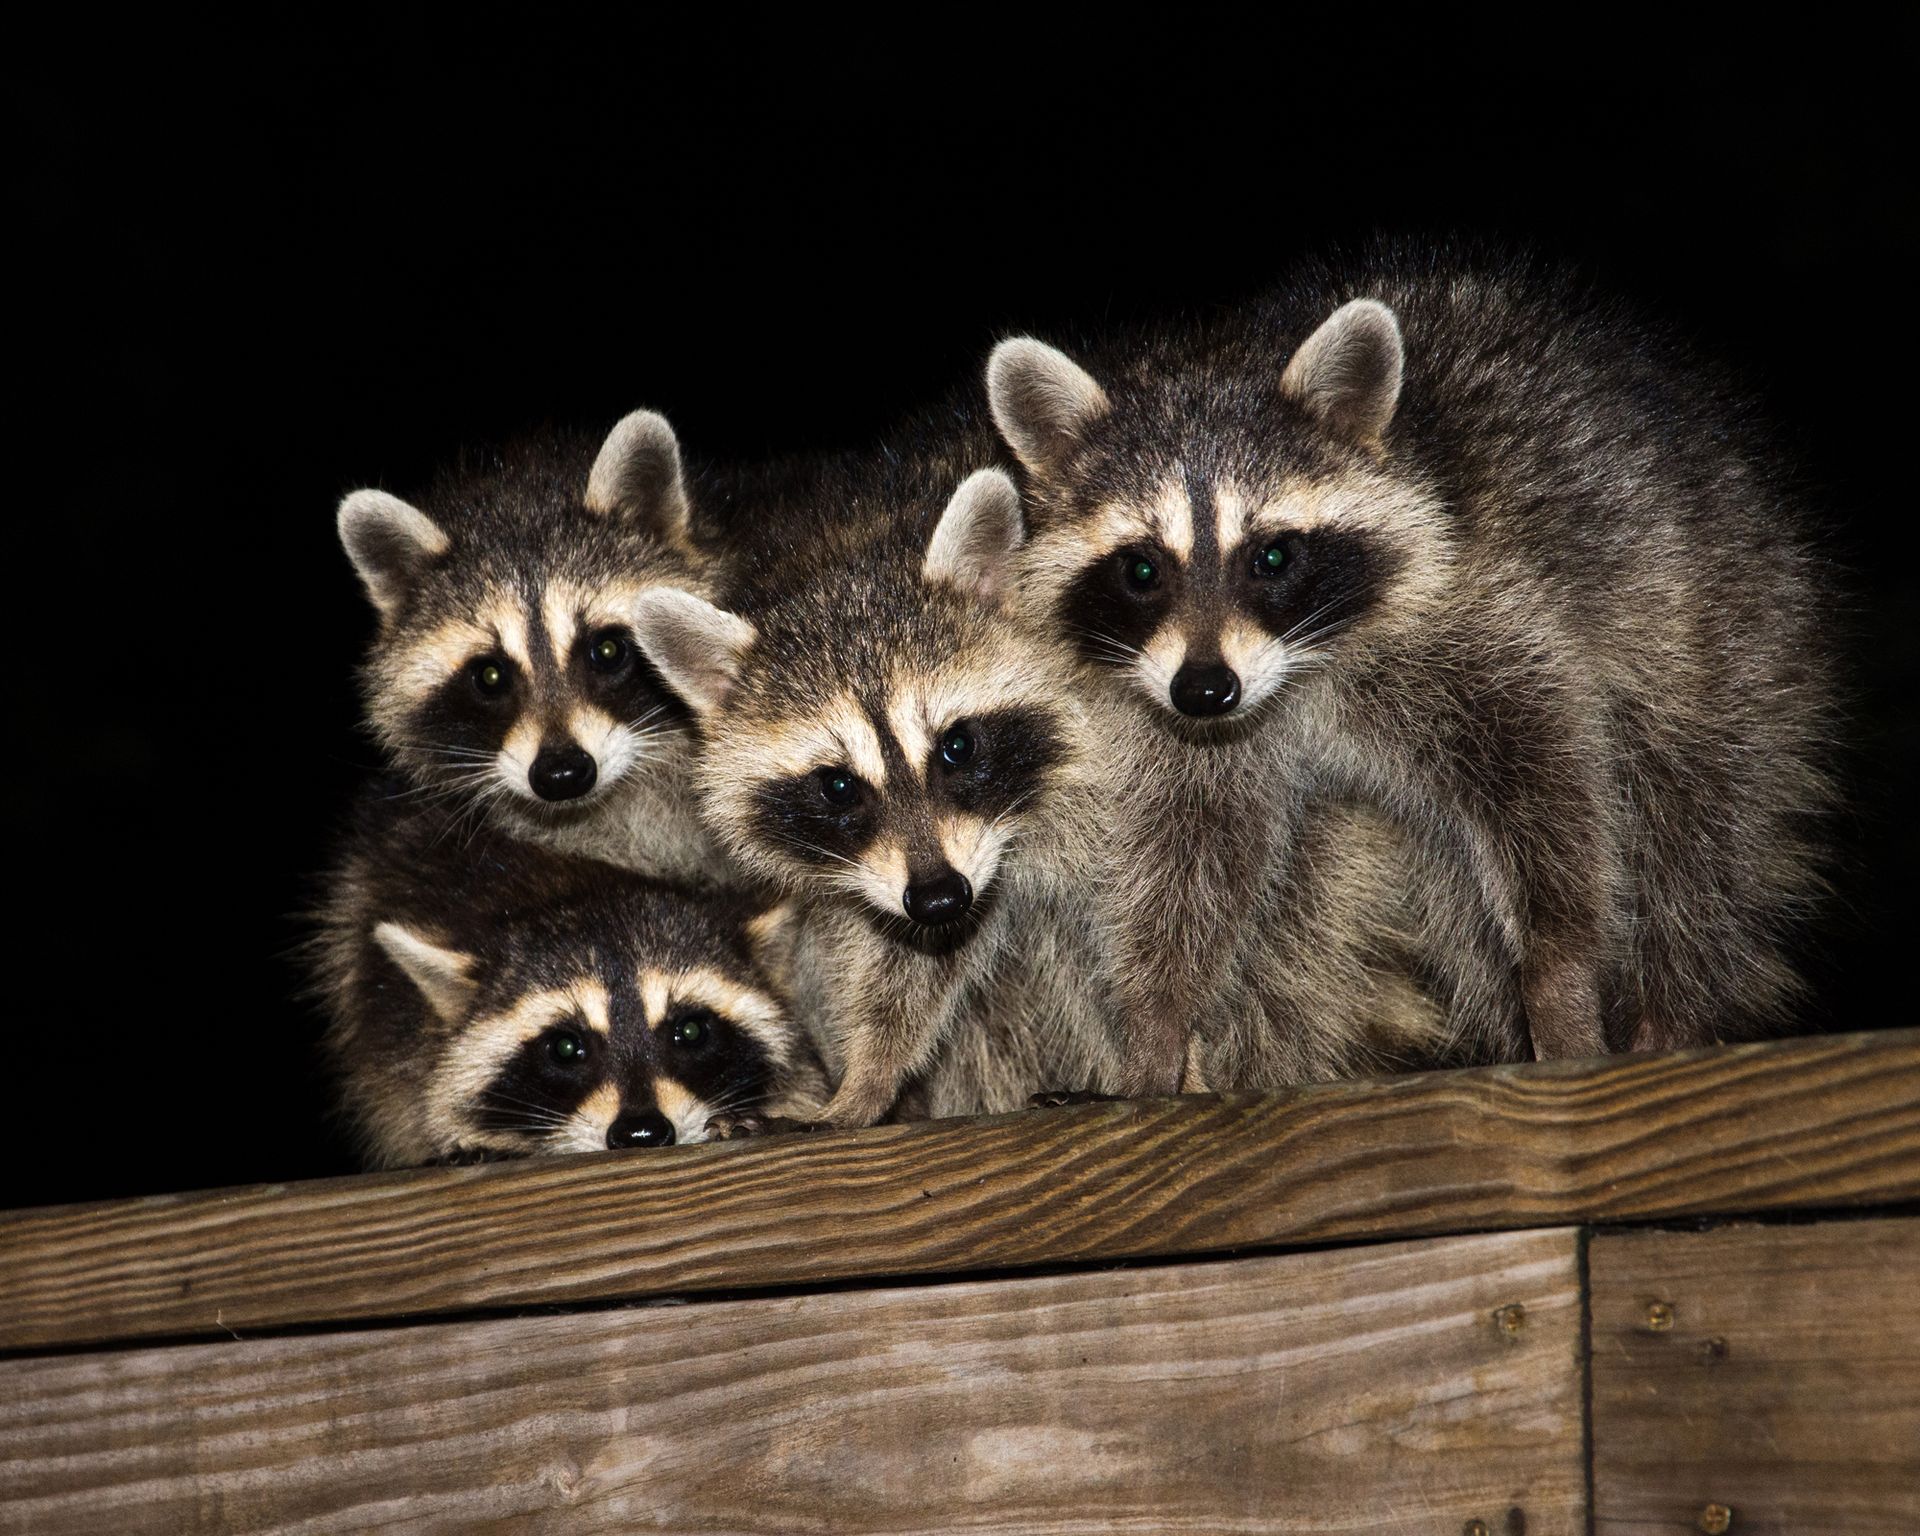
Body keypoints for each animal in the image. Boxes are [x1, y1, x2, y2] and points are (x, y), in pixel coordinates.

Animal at [628, 427, 1123, 1128]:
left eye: (957, 746)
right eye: (837, 786)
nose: (941, 897)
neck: (852, 548)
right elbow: (907, 961)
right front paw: (865, 1083)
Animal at [987, 244, 1839, 1092]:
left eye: (1272, 557)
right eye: (1141, 570)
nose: (1204, 690)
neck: (1297, 672)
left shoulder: (1477, 611)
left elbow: (1547, 787)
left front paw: (1559, 971)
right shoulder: (1193, 723)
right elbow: (1193, 856)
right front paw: (1159, 1025)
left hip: (1715, 616)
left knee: (1692, 818)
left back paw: (1673, 1003)